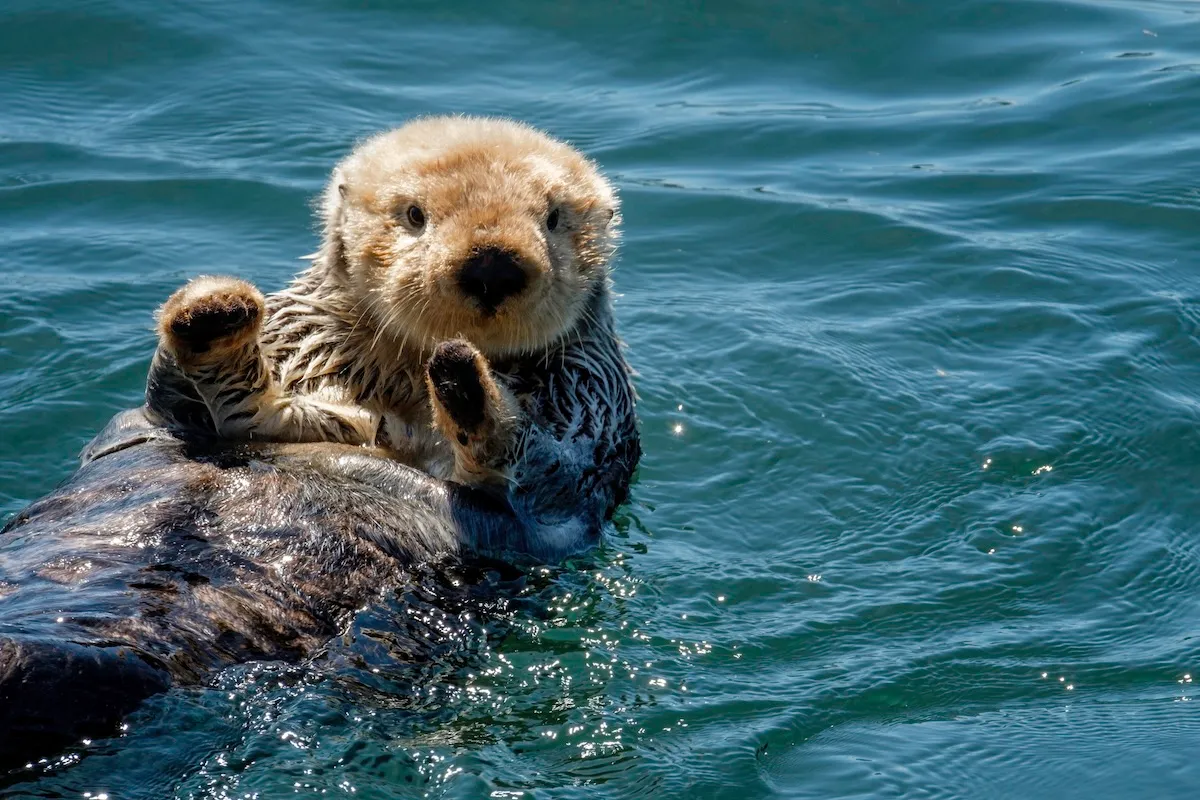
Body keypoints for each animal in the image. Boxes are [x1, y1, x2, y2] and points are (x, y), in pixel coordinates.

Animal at [0, 118, 639, 769]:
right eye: (415, 215)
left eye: (553, 218)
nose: (492, 266)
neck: (400, 382)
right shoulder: (272, 350)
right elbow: (193, 404)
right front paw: (211, 316)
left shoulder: (591, 404)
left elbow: (547, 470)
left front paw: (465, 383)